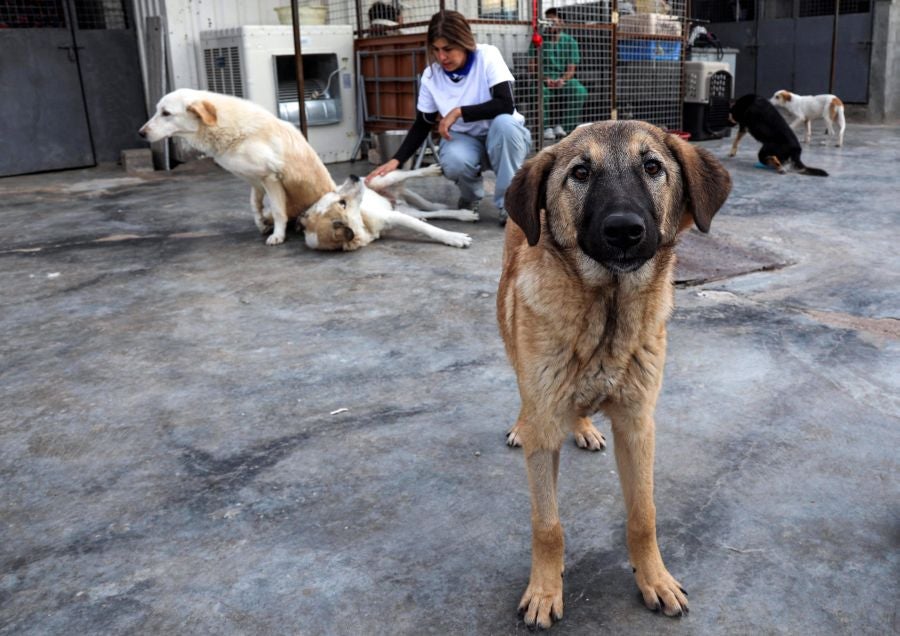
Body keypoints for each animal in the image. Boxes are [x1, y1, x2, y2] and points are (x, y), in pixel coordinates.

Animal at [139, 89, 336, 246]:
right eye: (158, 111)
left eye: (166, 113)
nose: (141, 133)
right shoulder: (256, 181)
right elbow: (254, 205)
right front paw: (261, 224)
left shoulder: (270, 177)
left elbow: (278, 211)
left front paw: (278, 236)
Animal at [300, 164, 478, 251]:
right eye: (342, 203)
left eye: (336, 196)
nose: (353, 176)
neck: (362, 224)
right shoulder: (394, 216)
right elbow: (428, 226)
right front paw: (455, 237)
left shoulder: (392, 216)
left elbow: (431, 230)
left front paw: (454, 237)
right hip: (405, 210)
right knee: (435, 211)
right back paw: (464, 214)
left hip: (382, 179)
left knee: (408, 173)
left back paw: (430, 170)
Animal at [500, 121, 732, 628]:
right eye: (580, 173)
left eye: (653, 167)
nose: (624, 230)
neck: (607, 313)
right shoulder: (546, 429)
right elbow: (547, 525)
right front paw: (545, 590)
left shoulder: (637, 423)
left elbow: (643, 515)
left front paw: (655, 580)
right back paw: (522, 424)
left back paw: (585, 426)